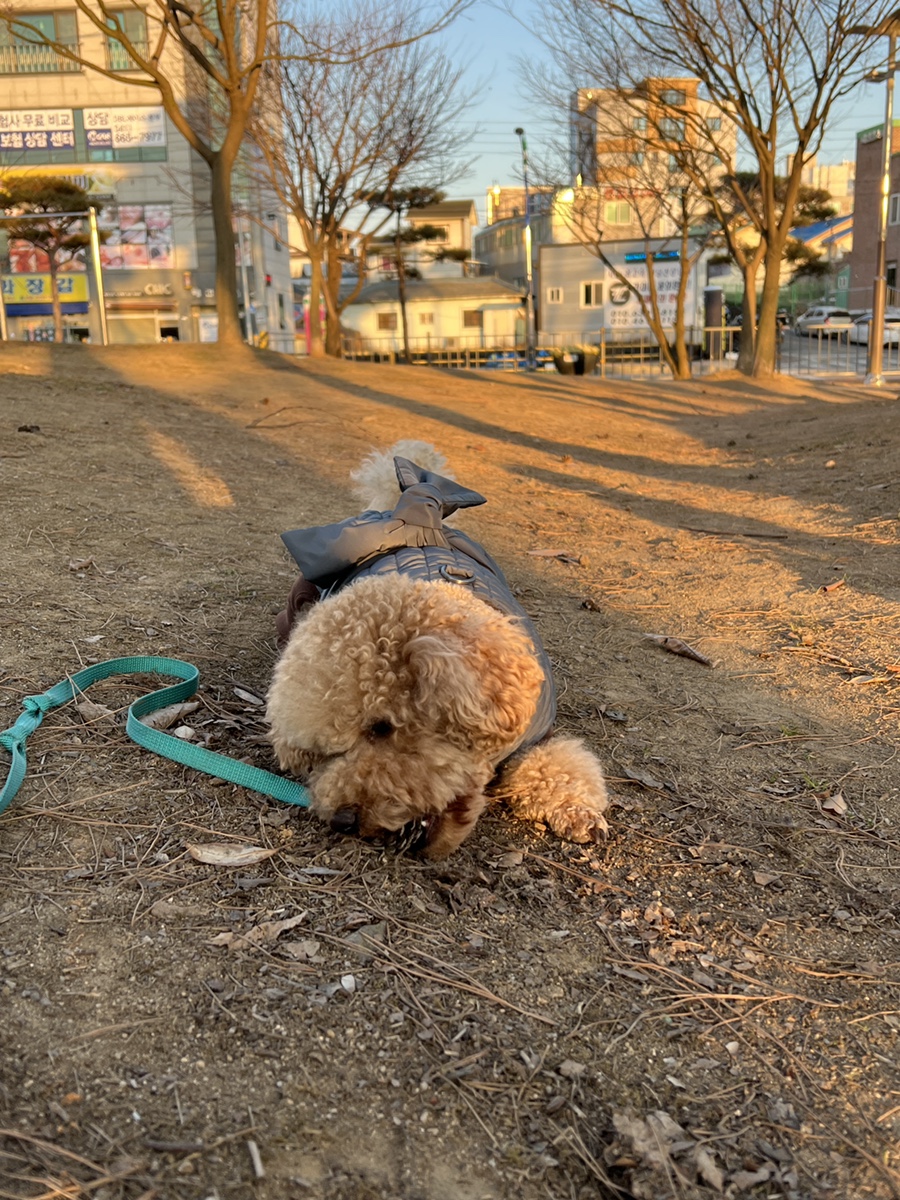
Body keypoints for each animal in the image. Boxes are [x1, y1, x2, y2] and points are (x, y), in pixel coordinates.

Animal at [264, 446, 609, 859]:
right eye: (318, 757)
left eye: (381, 727)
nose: (344, 820)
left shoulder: (537, 734)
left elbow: (558, 765)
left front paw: (578, 812)